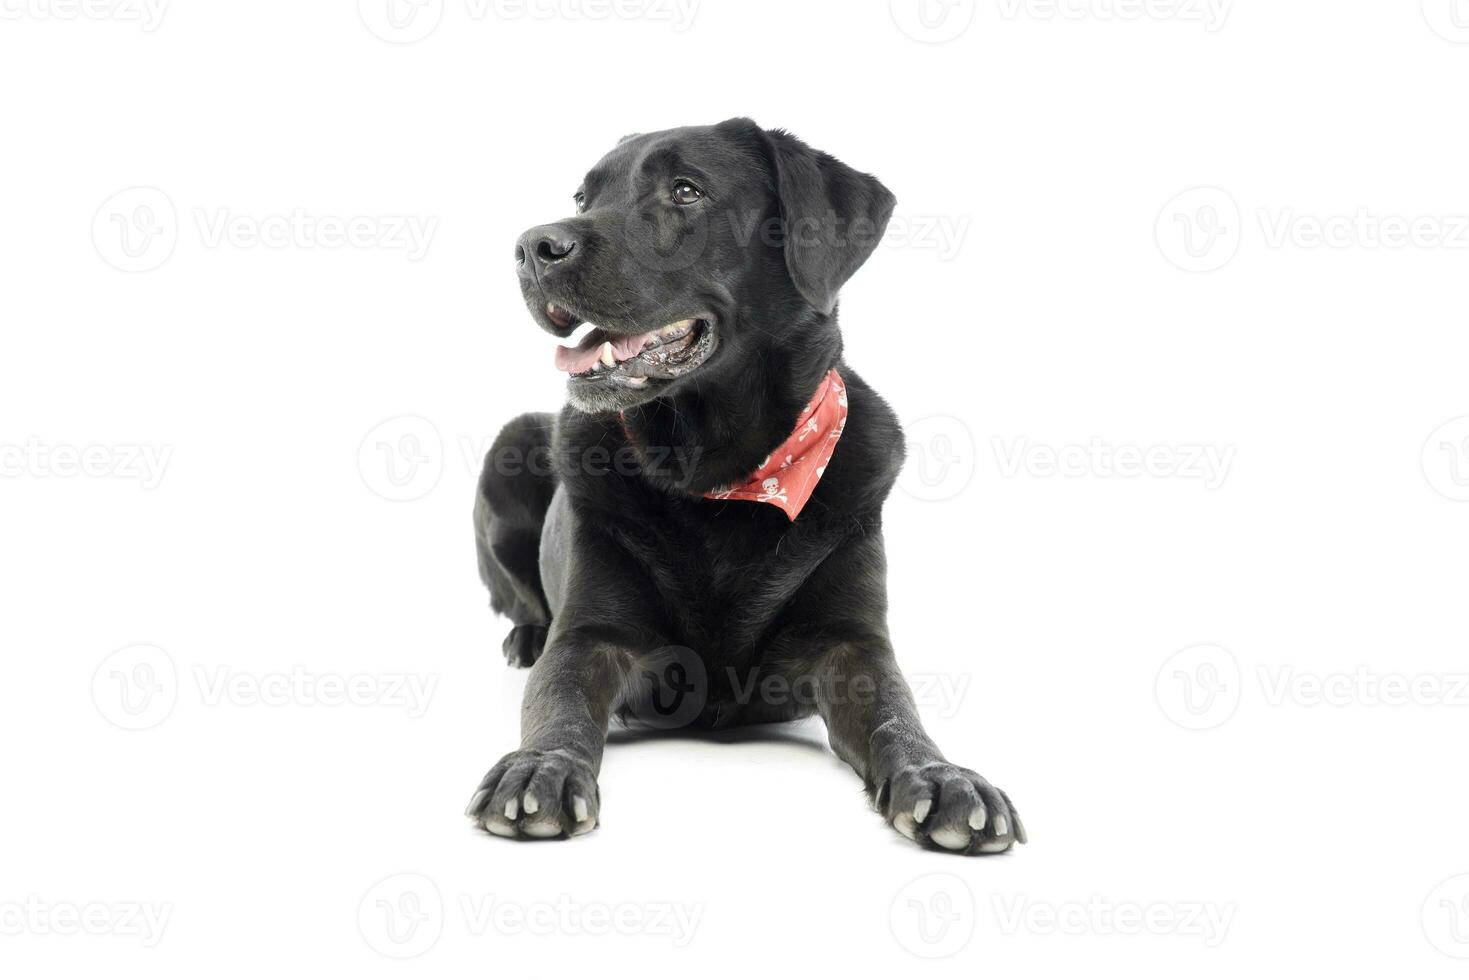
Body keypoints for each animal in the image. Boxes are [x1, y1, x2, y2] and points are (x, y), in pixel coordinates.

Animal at [464, 119, 1028, 852]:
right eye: (584, 197)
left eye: (685, 190)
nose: (533, 247)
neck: (721, 476)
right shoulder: (589, 634)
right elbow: (558, 703)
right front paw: (539, 768)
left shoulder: (851, 641)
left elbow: (897, 714)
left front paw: (942, 777)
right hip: (509, 448)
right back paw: (526, 637)